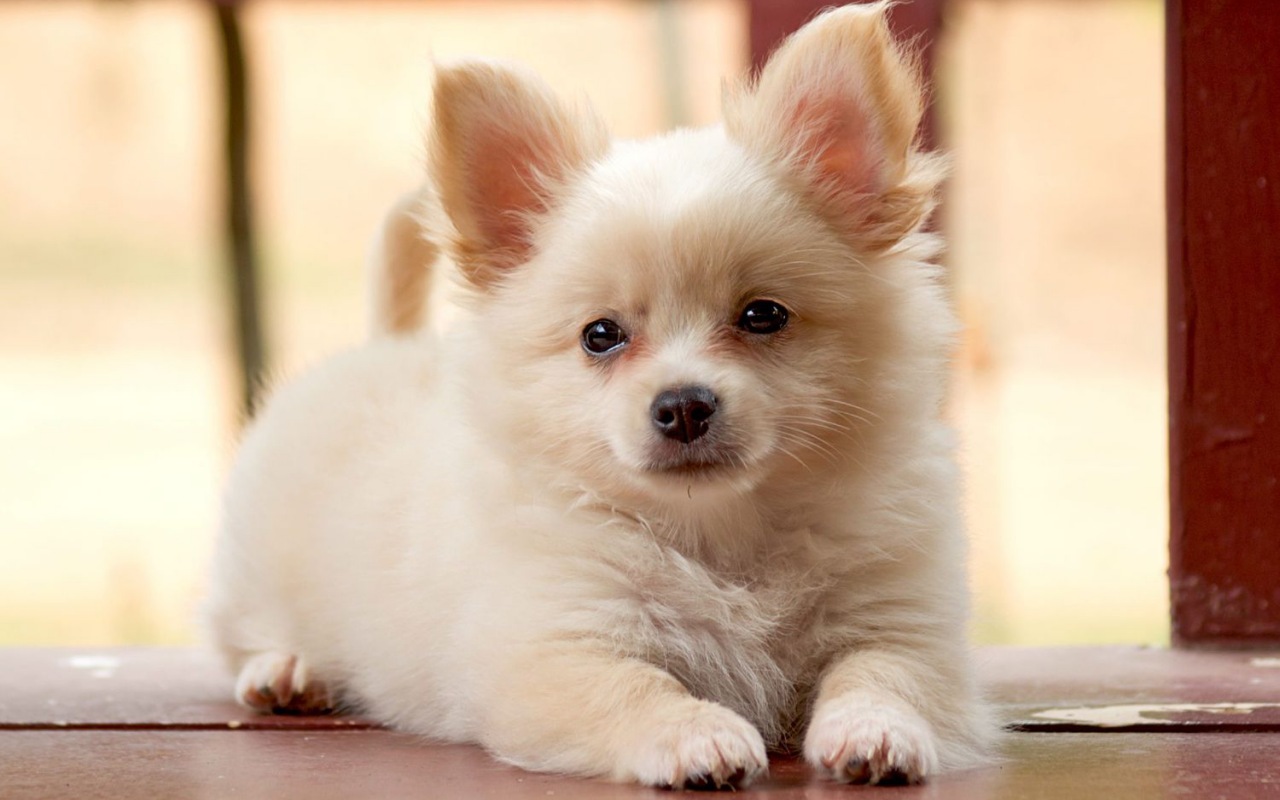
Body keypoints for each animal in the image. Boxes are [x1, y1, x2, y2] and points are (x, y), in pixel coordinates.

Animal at [204, 1, 993, 788]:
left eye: (763, 315)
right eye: (601, 335)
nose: (682, 405)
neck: (720, 535)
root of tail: (385, 344)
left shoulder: (901, 624)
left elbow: (881, 674)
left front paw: (876, 734)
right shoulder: (555, 645)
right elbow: (637, 686)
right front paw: (697, 737)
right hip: (252, 570)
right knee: (244, 633)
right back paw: (285, 669)